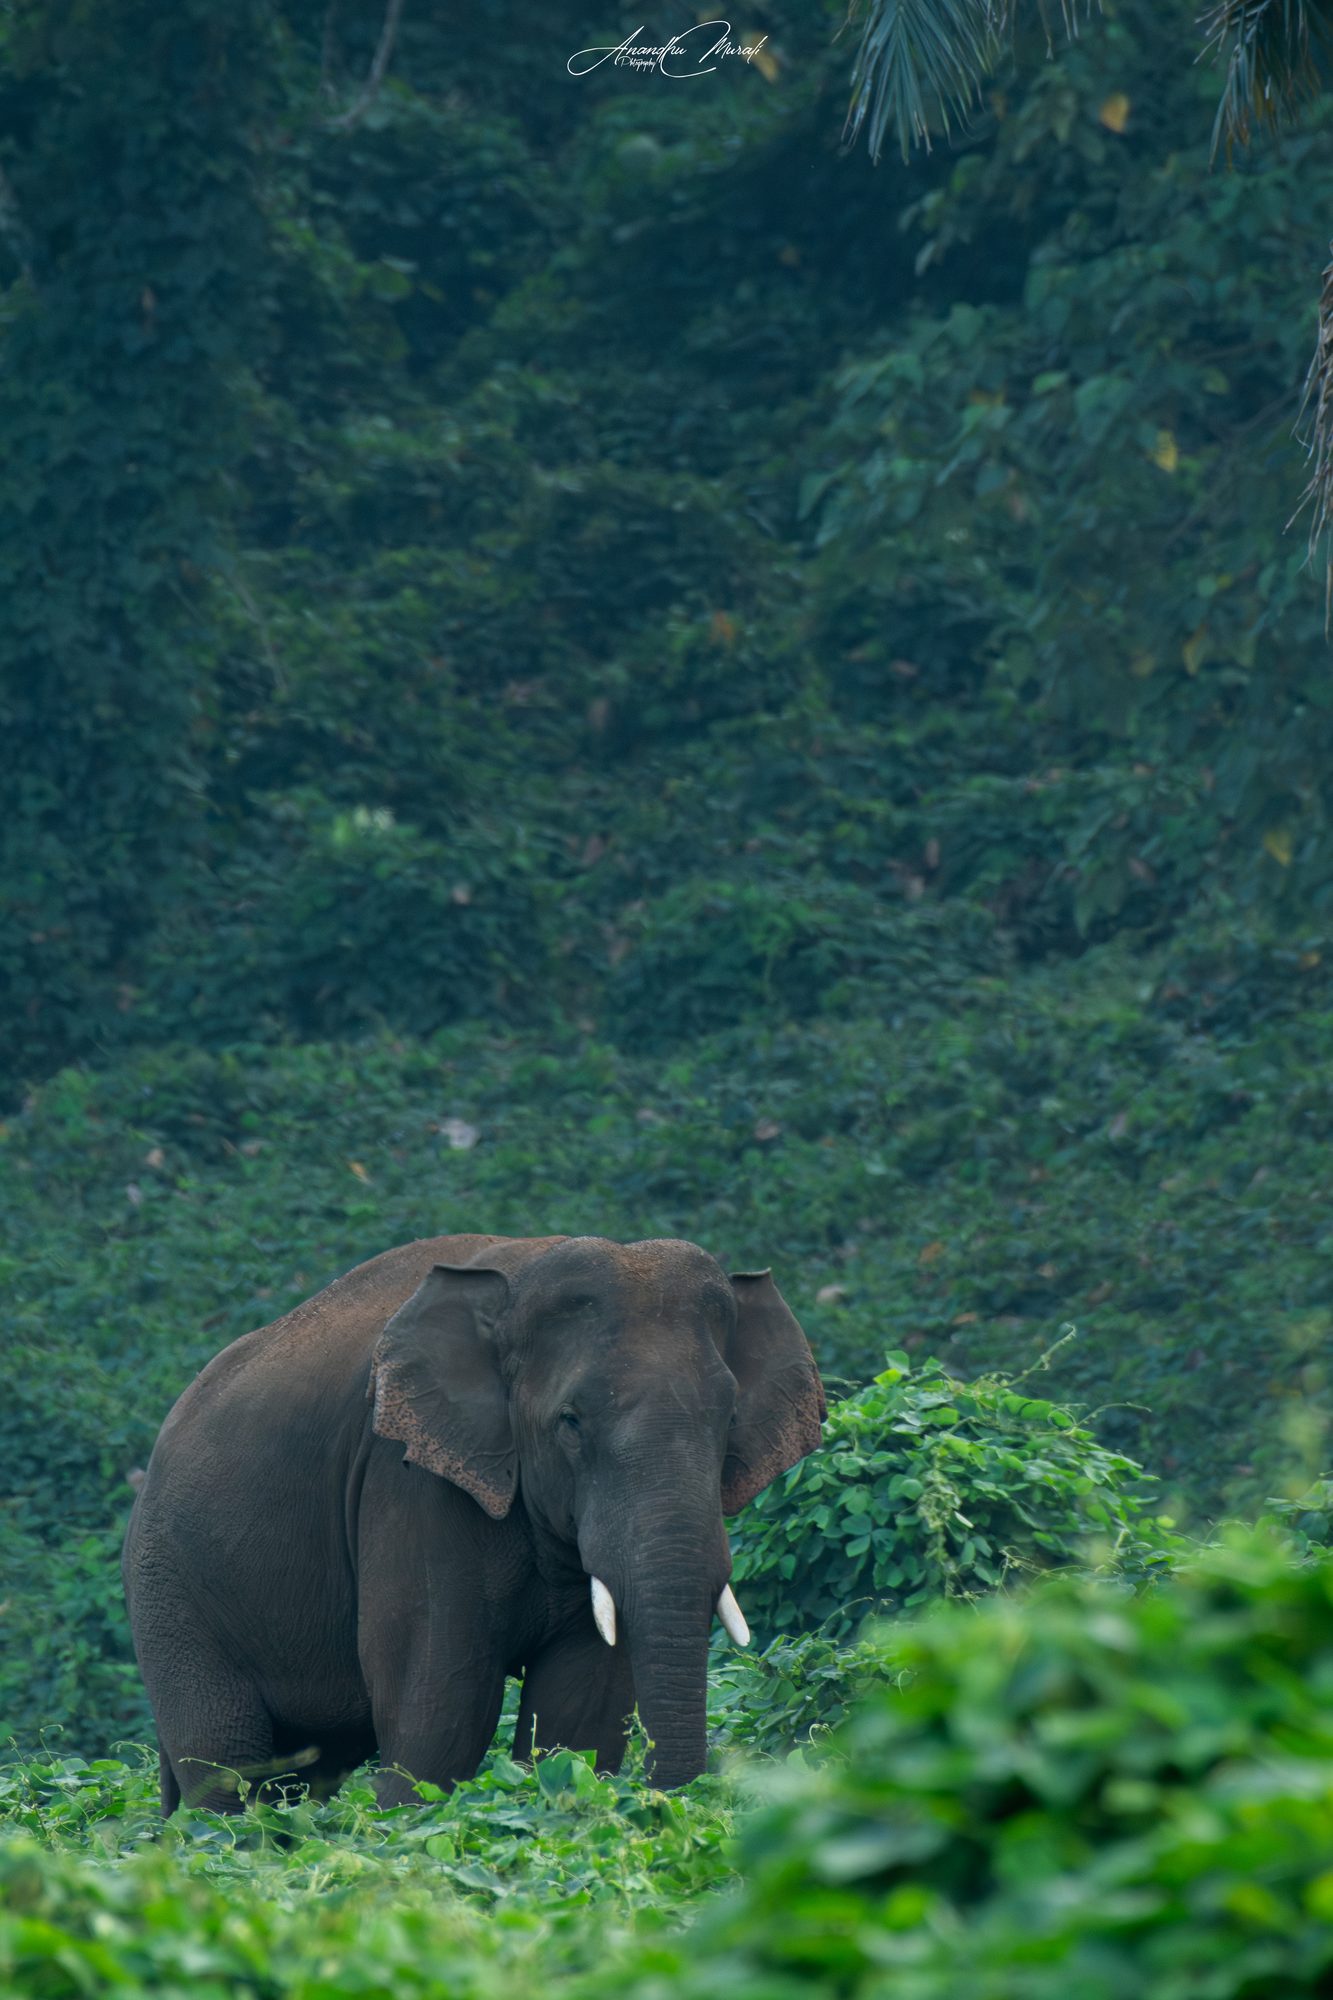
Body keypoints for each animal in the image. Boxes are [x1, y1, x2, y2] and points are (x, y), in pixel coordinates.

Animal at [122, 1232, 825, 1814]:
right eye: (570, 1422)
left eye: (728, 1418)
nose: (665, 1800)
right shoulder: (409, 1481)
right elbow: (442, 1700)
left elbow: (581, 1707)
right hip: (169, 1590)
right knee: (227, 1768)